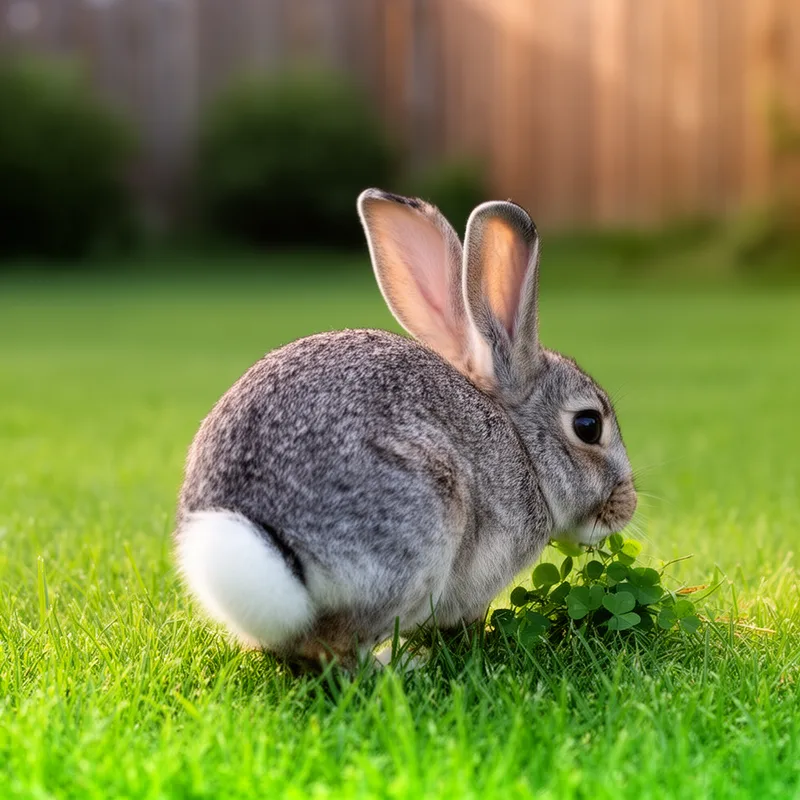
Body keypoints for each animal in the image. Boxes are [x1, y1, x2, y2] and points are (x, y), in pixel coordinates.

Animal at [175, 189, 637, 668]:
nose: (628, 504)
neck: (522, 445)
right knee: (337, 649)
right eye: (588, 425)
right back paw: (403, 665)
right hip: (420, 532)